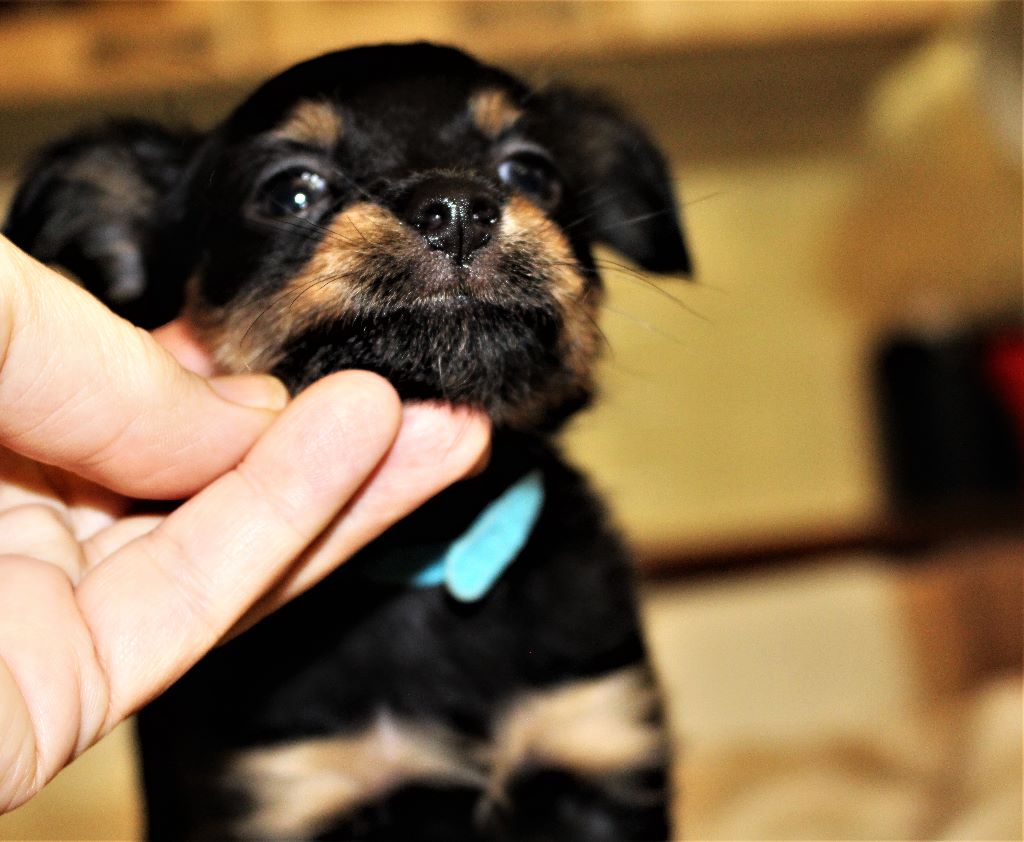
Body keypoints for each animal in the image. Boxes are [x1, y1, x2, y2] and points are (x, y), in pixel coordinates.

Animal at [4, 43, 690, 840]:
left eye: (531, 172)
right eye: (292, 192)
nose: (458, 207)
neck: (427, 549)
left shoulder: (599, 747)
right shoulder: (286, 792)